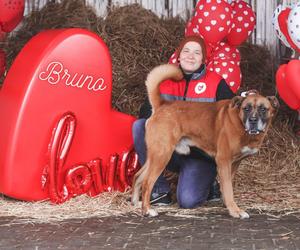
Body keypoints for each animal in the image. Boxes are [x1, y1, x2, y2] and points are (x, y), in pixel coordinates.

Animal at [131, 64, 278, 219]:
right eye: (246, 108)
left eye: (263, 109)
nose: (253, 120)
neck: (240, 123)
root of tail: (162, 105)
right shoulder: (223, 161)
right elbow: (228, 189)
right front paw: (235, 210)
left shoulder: (234, 163)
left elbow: (227, 188)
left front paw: (227, 204)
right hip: (162, 155)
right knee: (147, 182)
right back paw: (147, 210)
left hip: (154, 156)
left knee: (137, 176)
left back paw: (136, 203)